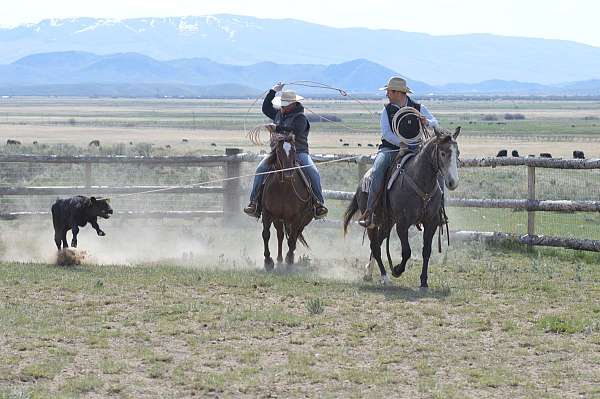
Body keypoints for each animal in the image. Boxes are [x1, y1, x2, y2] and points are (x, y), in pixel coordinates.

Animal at [260, 133, 314, 270]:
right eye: (279, 151)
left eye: (294, 150)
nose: (288, 174)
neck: (283, 188)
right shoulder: (267, 213)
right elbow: (266, 234)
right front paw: (268, 261)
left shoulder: (297, 217)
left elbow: (292, 239)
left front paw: (289, 259)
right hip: (278, 219)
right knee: (280, 235)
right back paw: (279, 259)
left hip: (302, 221)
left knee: (293, 237)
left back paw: (289, 257)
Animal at [342, 128, 464, 288]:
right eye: (443, 153)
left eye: (458, 153)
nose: (453, 182)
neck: (421, 182)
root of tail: (363, 179)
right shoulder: (402, 224)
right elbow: (406, 252)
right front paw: (397, 270)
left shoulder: (431, 222)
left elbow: (426, 251)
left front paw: (424, 281)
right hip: (372, 222)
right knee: (375, 245)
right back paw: (384, 276)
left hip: (387, 221)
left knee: (378, 242)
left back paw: (369, 272)